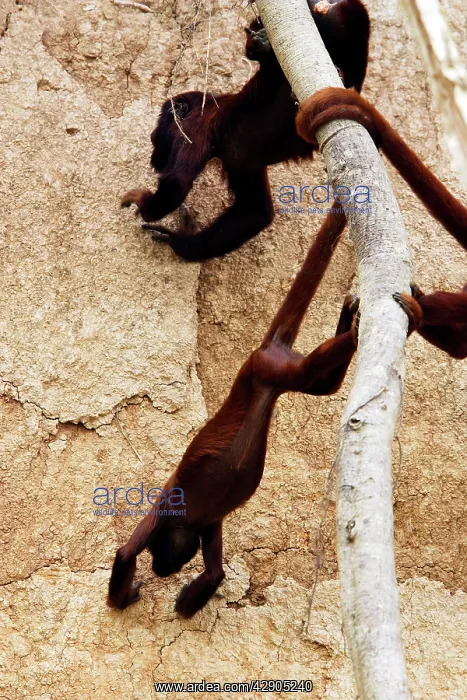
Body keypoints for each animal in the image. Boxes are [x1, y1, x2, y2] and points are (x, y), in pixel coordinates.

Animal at [107, 205, 360, 618]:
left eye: (162, 559)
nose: (160, 570)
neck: (188, 521)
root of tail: (269, 348)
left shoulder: (165, 511)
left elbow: (127, 552)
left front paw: (125, 597)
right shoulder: (208, 525)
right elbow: (215, 574)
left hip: (263, 368)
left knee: (310, 373)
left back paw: (352, 334)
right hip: (277, 371)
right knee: (319, 384)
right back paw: (347, 326)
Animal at [119, 0, 370, 261]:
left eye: (158, 131)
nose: (153, 141)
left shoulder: (193, 127)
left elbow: (178, 180)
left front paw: (143, 204)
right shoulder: (240, 164)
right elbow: (254, 212)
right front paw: (179, 241)